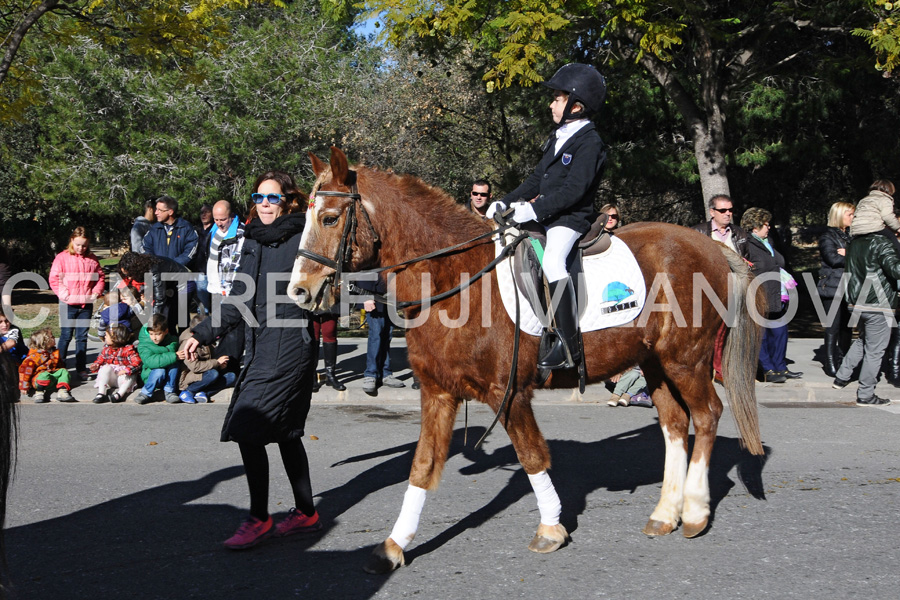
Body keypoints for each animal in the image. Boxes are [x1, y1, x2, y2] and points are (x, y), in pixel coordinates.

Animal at [290, 148, 768, 576]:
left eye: (329, 218)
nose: (298, 291)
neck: (455, 281)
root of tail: (710, 246)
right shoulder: (438, 392)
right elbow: (422, 466)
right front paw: (394, 545)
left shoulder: (508, 393)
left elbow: (533, 455)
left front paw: (551, 528)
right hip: (656, 363)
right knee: (674, 424)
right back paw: (666, 513)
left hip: (686, 361)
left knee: (707, 415)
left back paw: (694, 513)